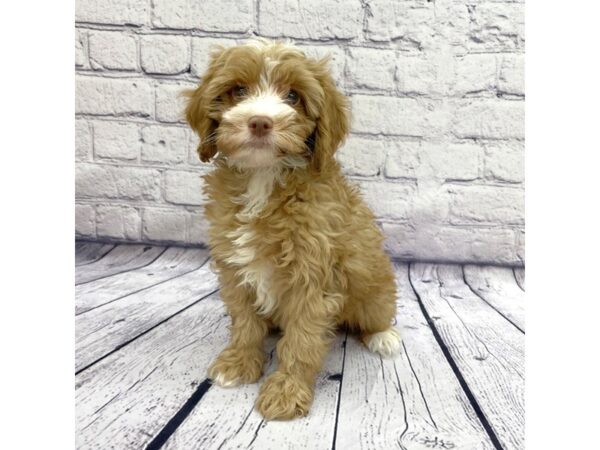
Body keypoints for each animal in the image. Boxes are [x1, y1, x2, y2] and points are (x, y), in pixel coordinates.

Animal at [185, 37, 400, 420]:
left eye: (293, 96)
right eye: (238, 90)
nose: (260, 122)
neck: (263, 178)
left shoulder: (313, 277)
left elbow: (302, 339)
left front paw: (287, 391)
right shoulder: (235, 269)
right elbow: (244, 322)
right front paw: (239, 363)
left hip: (373, 292)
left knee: (375, 315)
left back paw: (384, 337)